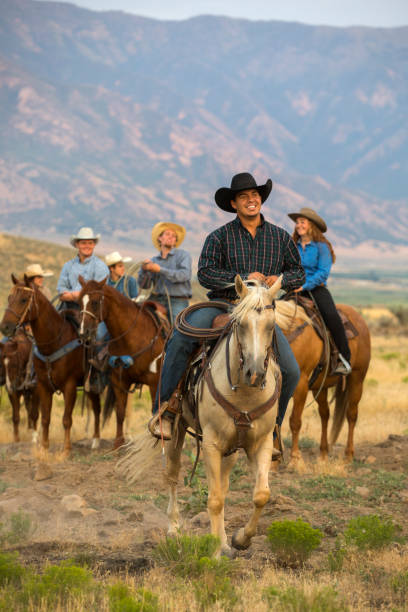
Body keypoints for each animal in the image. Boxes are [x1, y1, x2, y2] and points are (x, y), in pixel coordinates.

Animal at [0, 276, 101, 454]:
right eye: (9, 298)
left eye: (24, 299)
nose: (5, 327)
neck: (54, 341)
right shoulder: (42, 386)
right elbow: (45, 418)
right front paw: (44, 448)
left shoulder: (69, 386)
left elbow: (66, 419)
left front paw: (66, 449)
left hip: (93, 384)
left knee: (97, 409)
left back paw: (96, 441)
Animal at [77, 278, 167, 450]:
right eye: (79, 302)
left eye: (95, 302)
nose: (84, 333)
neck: (132, 337)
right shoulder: (119, 382)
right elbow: (120, 412)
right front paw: (118, 443)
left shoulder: (154, 382)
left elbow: (155, 411)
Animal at [276, 298, 372, 464]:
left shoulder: (300, 385)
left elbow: (295, 421)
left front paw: (295, 459)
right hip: (320, 387)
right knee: (325, 415)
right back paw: (323, 454)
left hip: (357, 379)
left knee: (351, 415)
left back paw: (348, 455)